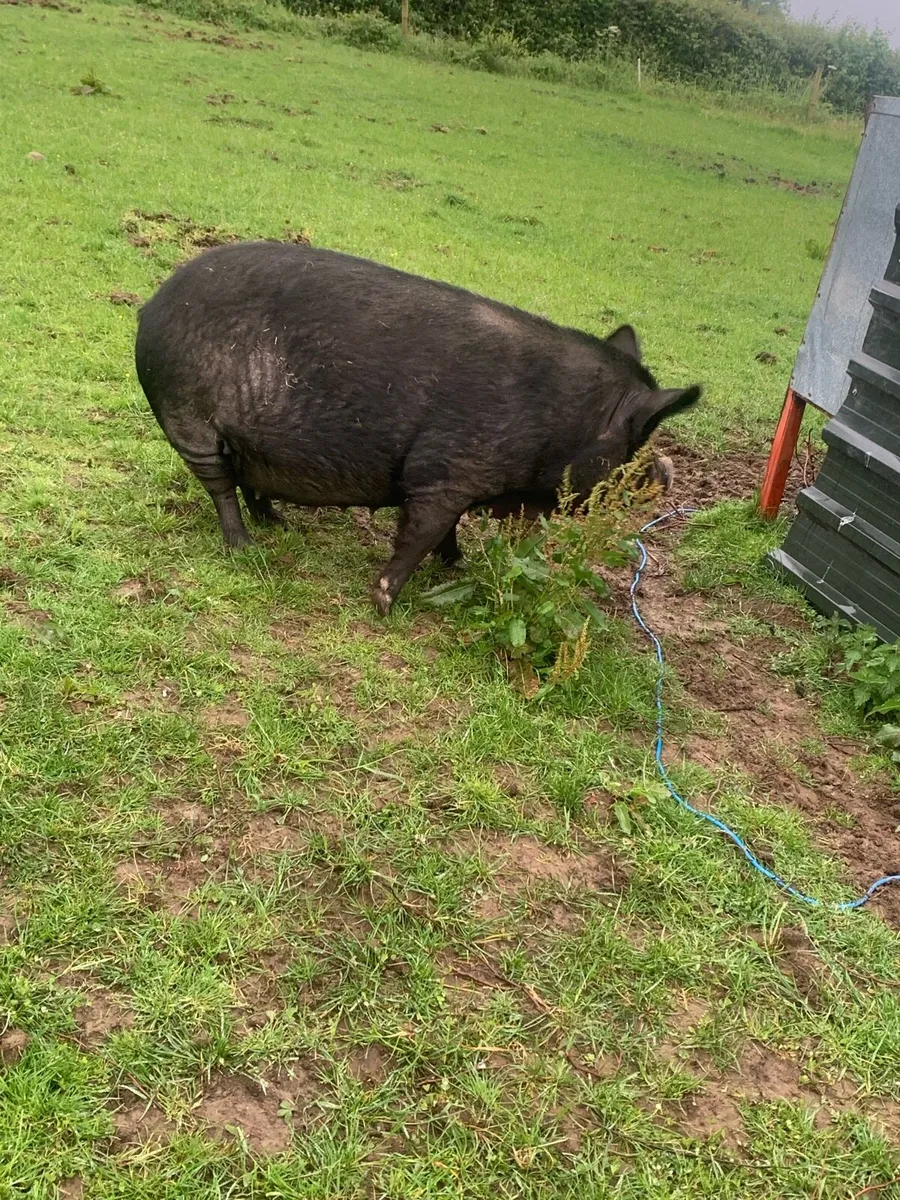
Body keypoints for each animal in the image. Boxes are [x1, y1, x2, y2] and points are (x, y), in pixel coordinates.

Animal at [135, 242, 700, 614]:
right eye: (634, 447)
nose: (665, 473)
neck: (561, 421)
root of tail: (150, 307)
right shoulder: (445, 470)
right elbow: (421, 532)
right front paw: (384, 605)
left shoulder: (450, 479)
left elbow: (448, 530)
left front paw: (458, 567)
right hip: (188, 418)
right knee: (220, 485)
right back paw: (244, 547)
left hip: (247, 440)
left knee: (249, 480)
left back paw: (282, 526)